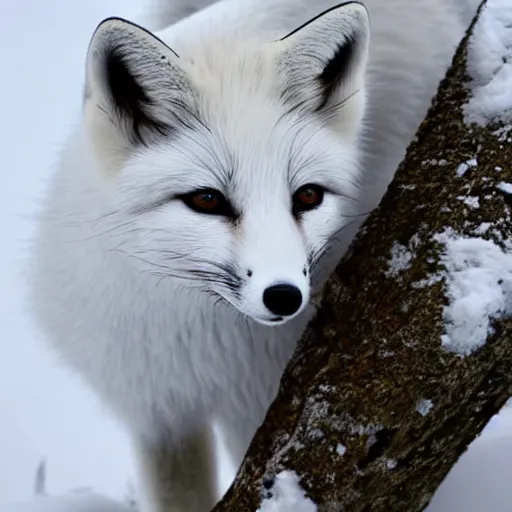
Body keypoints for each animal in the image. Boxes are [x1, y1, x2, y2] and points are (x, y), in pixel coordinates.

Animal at [31, 0, 480, 510]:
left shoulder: (253, 405)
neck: (196, 336)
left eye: (308, 196)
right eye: (207, 200)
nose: (284, 296)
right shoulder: (158, 413)